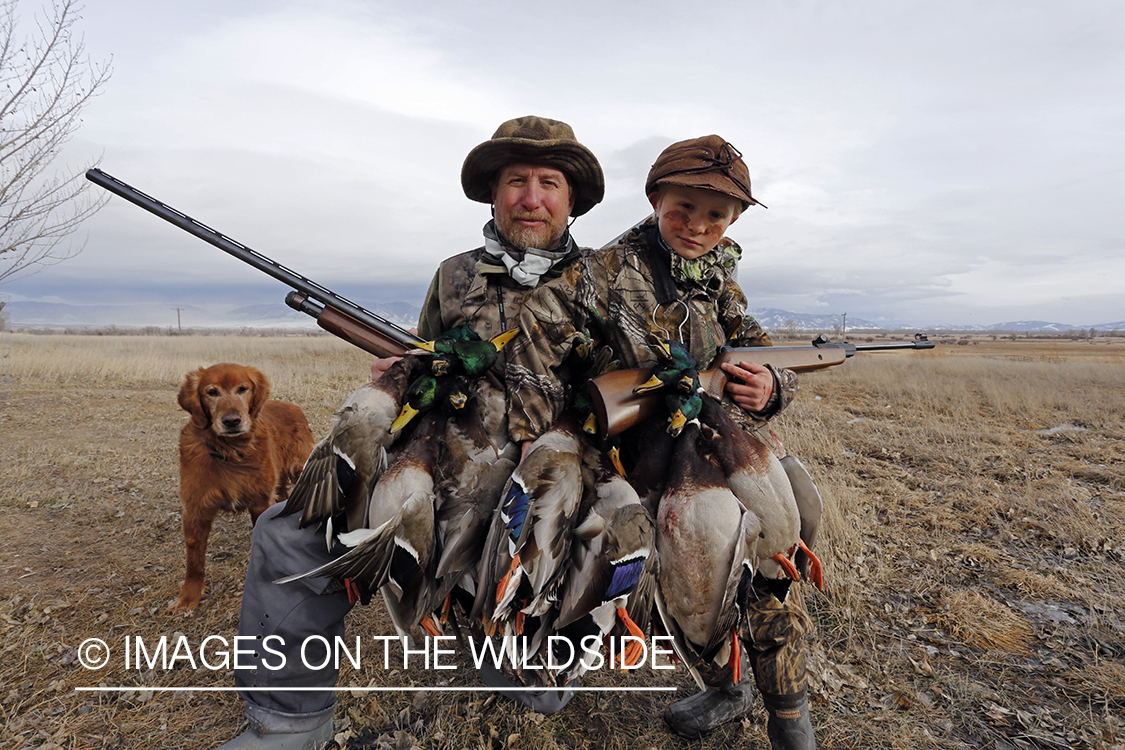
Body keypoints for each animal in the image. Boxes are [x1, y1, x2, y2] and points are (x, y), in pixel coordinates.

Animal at [171, 364, 315, 616]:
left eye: (242, 389)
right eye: (212, 392)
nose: (232, 421)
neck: (229, 451)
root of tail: (292, 406)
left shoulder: (260, 503)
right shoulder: (195, 510)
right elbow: (194, 560)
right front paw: (188, 598)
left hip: (300, 467)